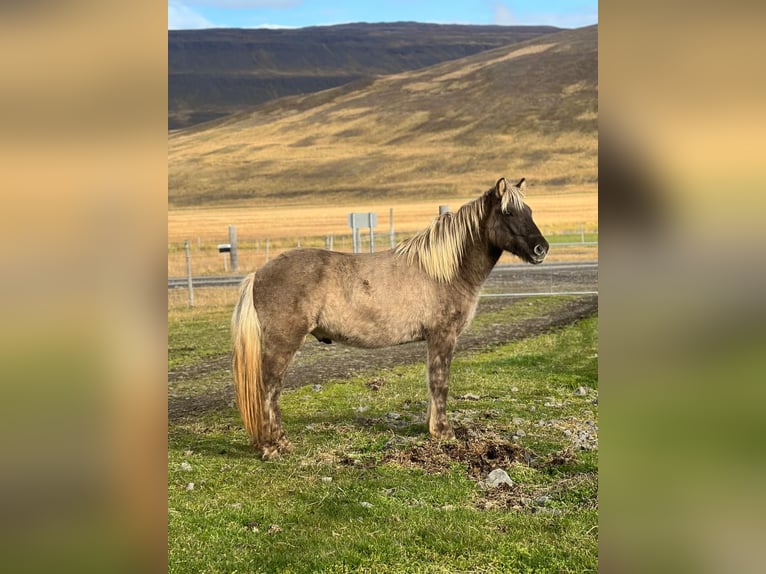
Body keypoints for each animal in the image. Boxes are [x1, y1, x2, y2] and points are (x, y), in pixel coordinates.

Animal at [231, 178, 548, 462]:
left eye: (530, 211)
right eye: (508, 213)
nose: (541, 249)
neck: (445, 271)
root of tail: (258, 274)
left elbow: (432, 383)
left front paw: (433, 429)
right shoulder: (443, 336)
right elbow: (440, 382)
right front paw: (444, 432)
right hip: (281, 345)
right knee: (269, 390)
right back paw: (273, 447)